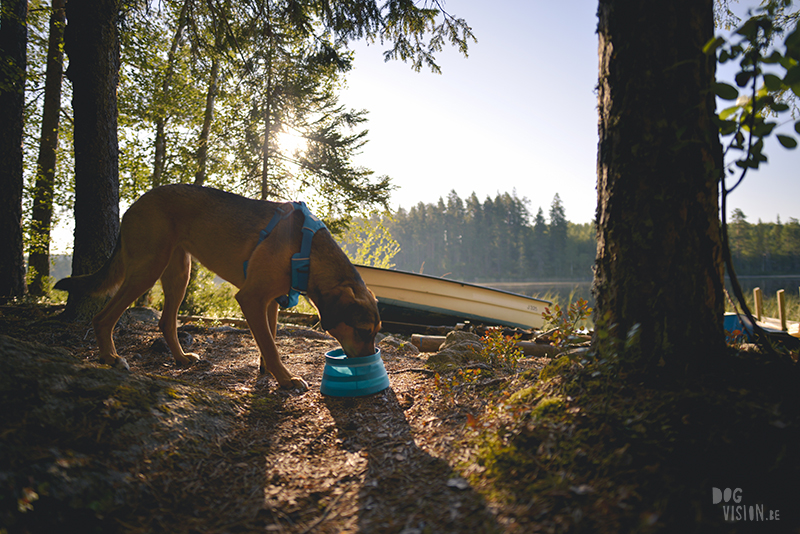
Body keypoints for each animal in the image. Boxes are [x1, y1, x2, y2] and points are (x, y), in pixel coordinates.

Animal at [55, 184, 382, 390]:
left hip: (179, 273)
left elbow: (269, 341)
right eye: (363, 331)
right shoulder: (251, 298)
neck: (306, 248)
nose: (368, 361)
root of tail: (135, 204)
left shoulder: (272, 302)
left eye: (375, 332)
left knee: (165, 322)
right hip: (147, 269)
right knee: (103, 318)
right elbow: (271, 346)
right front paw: (286, 380)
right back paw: (110, 358)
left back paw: (180, 358)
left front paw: (270, 373)